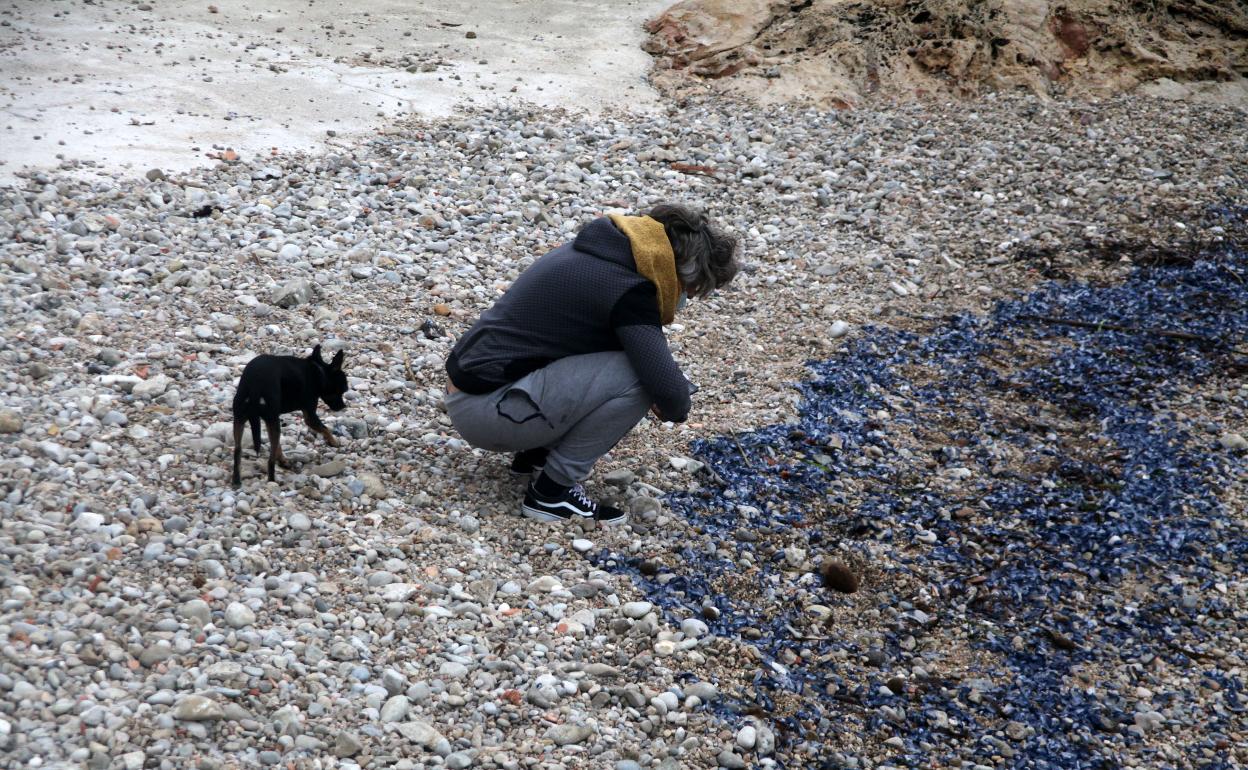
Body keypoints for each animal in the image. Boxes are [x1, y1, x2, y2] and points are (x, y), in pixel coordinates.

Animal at [232, 344, 349, 486]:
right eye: (343, 390)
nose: (343, 406)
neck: (319, 371)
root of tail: (255, 385)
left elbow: (277, 445)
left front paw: (282, 458)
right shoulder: (310, 416)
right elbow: (325, 428)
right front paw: (334, 442)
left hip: (241, 419)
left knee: (237, 451)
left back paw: (236, 480)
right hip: (271, 419)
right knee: (270, 460)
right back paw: (272, 481)